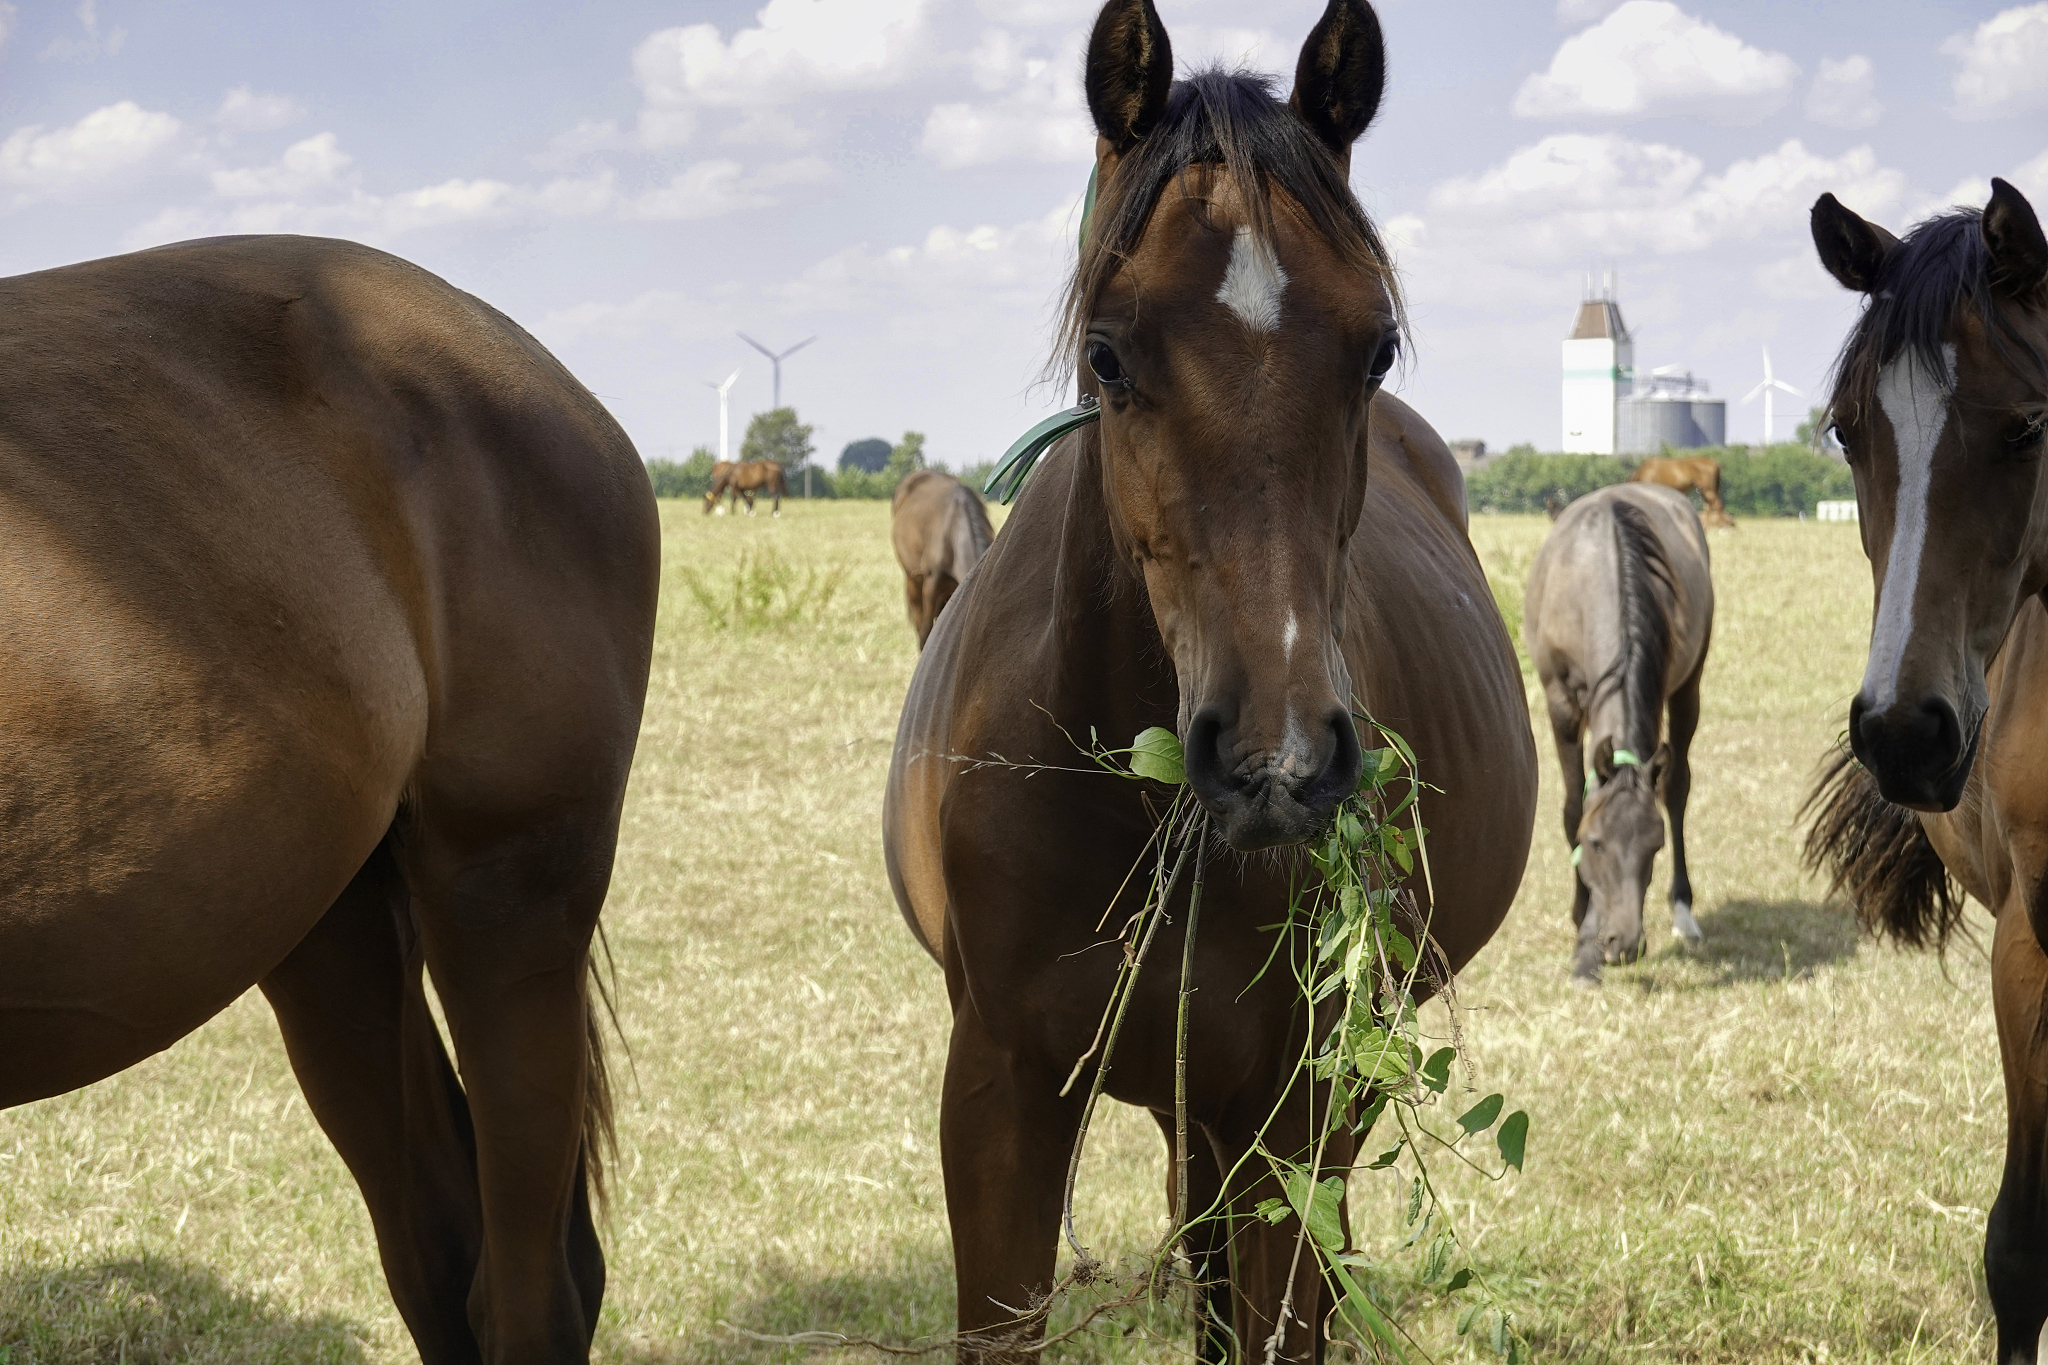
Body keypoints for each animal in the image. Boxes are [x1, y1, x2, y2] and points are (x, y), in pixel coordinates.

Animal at [1523, 484, 1714, 983]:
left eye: (1655, 845)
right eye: (1595, 843)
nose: (1625, 944)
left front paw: (1590, 941)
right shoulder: (1560, 703)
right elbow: (1575, 805)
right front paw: (1582, 928)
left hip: (1689, 686)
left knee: (1677, 787)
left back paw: (1683, 912)